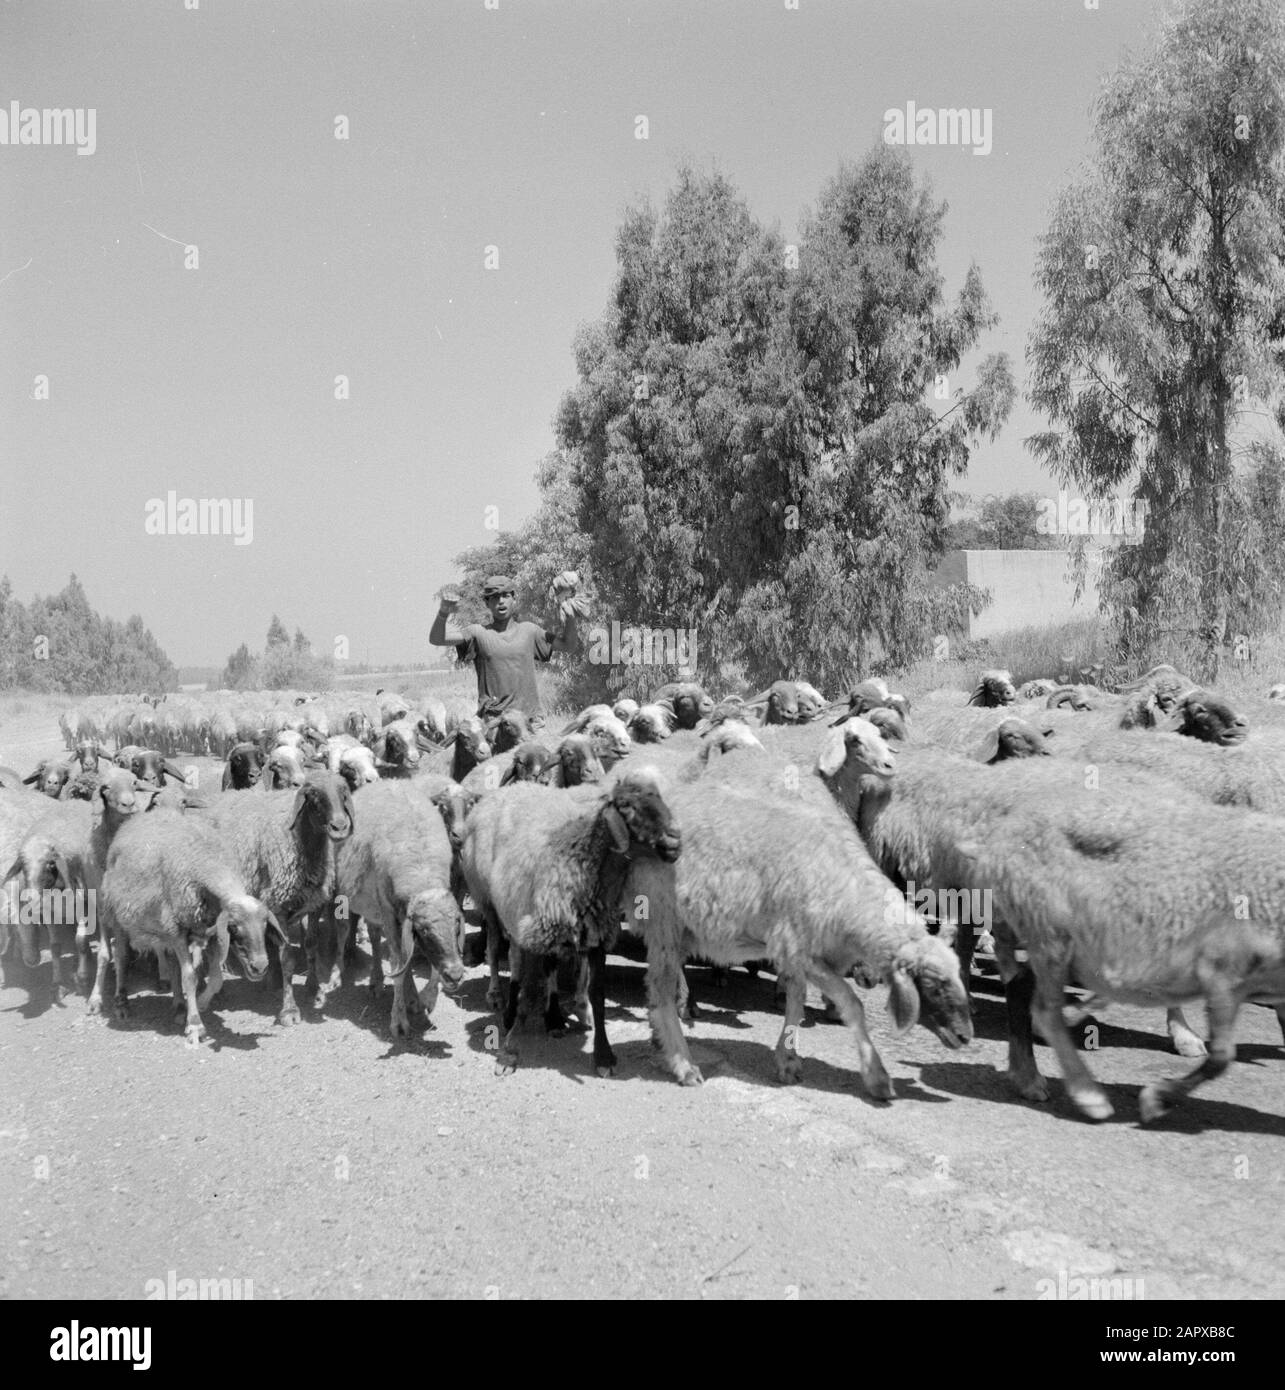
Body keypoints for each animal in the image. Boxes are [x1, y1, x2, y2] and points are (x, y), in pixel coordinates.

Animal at [96, 811, 282, 1045]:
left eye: (265, 926)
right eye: (234, 927)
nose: (260, 967)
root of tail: (132, 822)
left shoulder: (210, 933)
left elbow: (216, 979)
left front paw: (200, 1003)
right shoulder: (177, 933)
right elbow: (190, 977)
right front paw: (195, 1025)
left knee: (169, 964)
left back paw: (178, 1006)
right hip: (115, 916)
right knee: (119, 956)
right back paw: (117, 1003)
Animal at [198, 772, 356, 1023]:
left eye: (343, 792)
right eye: (313, 796)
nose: (340, 827)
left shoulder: (314, 904)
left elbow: (311, 945)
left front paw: (314, 988)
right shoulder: (279, 907)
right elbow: (287, 957)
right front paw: (289, 1009)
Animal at [311, 783, 467, 1034]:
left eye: (456, 928)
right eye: (425, 931)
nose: (455, 975)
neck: (421, 869)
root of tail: (384, 781)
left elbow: (414, 961)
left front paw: (425, 999)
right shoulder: (389, 910)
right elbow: (398, 962)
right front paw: (398, 1019)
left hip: (374, 907)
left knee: (377, 939)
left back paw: (380, 982)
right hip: (343, 893)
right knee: (344, 930)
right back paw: (337, 973)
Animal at [461, 772, 681, 1073]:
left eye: (659, 797)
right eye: (626, 806)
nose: (675, 841)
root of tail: (505, 791)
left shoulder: (596, 936)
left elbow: (597, 995)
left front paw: (603, 1054)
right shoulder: (537, 932)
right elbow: (529, 993)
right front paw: (510, 1051)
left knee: (523, 959)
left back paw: (544, 1015)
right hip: (489, 903)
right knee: (496, 950)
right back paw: (500, 999)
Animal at [631, 761, 973, 1095]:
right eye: (932, 984)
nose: (966, 1036)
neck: (849, 894)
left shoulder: (802, 954)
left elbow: (796, 1002)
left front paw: (788, 1060)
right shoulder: (798, 949)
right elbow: (852, 1004)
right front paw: (876, 1075)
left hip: (681, 931)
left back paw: (661, 1038)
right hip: (663, 920)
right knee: (659, 991)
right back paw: (682, 1062)